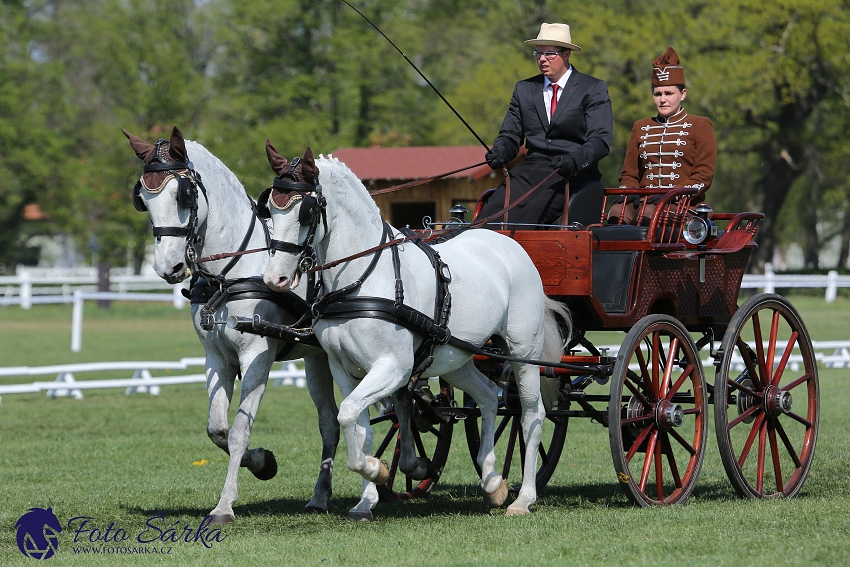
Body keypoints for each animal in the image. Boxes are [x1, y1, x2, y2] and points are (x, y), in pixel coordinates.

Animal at [121, 129, 380, 524]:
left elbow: (240, 430)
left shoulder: (256, 355)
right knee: (330, 423)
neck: (231, 274)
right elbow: (217, 430)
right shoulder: (217, 359)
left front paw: (225, 505)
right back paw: (319, 497)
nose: (169, 267)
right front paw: (262, 462)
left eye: (184, 194)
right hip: (317, 360)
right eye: (143, 198)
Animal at [262, 142, 568, 516]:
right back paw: (493, 483)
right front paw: (367, 498)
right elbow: (357, 425)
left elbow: (349, 414)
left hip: (523, 354)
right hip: (456, 357)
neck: (361, 279)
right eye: (269, 209)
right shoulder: (344, 369)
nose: (274, 278)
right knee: (486, 395)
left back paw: (523, 498)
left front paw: (378, 470)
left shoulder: (394, 367)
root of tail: (510, 243)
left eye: (306, 213)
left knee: (530, 414)